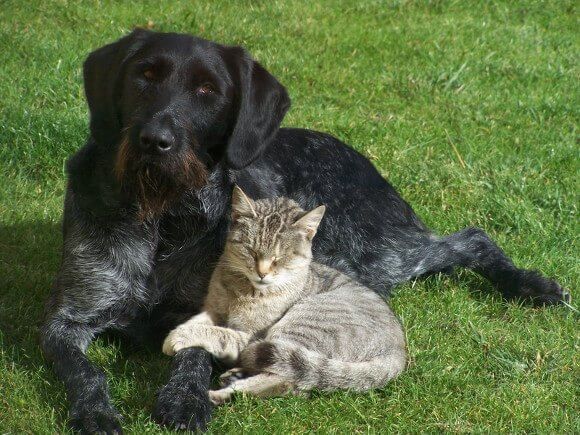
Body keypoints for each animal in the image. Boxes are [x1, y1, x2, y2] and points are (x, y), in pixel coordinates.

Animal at [163, 186, 408, 406]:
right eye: (251, 251)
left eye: (280, 258)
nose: (262, 273)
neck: (241, 289)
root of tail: (398, 350)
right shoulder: (214, 309)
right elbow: (199, 321)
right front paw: (180, 330)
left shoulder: (252, 335)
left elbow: (221, 334)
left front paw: (177, 337)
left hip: (303, 325)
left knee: (285, 379)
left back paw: (226, 392)